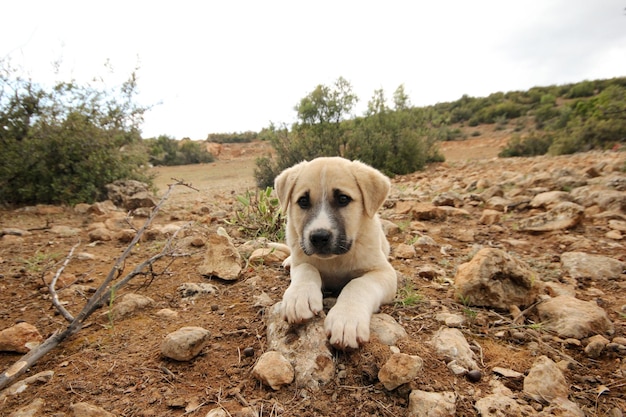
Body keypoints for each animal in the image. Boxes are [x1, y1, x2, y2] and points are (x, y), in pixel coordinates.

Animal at [272, 156, 394, 348]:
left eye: (343, 199)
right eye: (303, 201)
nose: (319, 237)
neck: (335, 259)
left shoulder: (384, 272)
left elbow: (359, 284)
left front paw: (346, 319)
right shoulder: (302, 260)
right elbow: (307, 269)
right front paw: (298, 297)